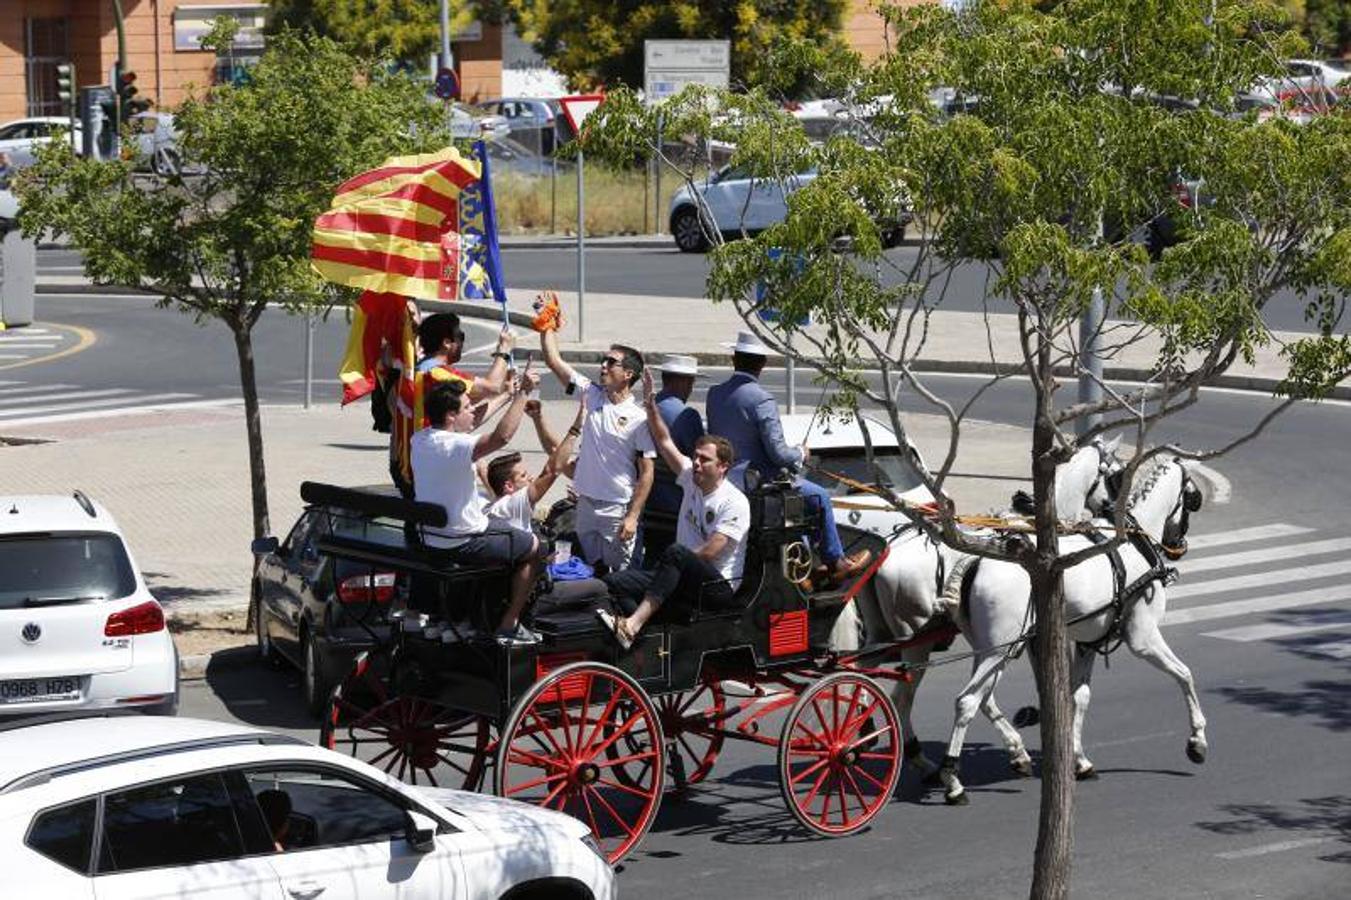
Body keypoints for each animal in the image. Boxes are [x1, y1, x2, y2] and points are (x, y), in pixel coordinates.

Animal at [832, 435, 1129, 778]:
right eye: (1117, 475)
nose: (1116, 512)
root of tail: (886, 552)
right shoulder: (1029, 634)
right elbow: (1043, 682)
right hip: (916, 642)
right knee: (901, 696)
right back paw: (912, 754)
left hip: (884, 633)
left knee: (859, 671)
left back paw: (860, 733)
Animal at [934, 456, 1210, 800]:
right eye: (1192, 498)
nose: (1179, 545)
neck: (1132, 541)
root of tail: (977, 561)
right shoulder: (1143, 638)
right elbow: (1185, 675)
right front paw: (1197, 740)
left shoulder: (1088, 642)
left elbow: (1078, 698)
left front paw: (1078, 760)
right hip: (1000, 650)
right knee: (967, 701)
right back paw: (952, 779)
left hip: (993, 649)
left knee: (985, 698)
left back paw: (1016, 753)